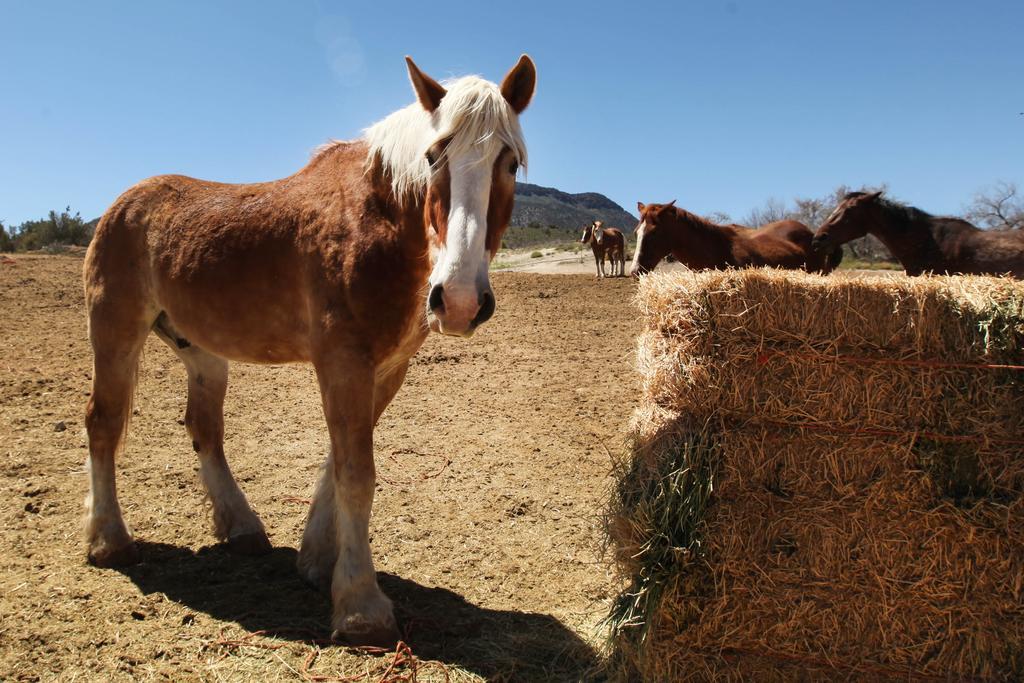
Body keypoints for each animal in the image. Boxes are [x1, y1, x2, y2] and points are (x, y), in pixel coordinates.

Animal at [79, 54, 536, 647]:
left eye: (510, 163)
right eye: (434, 156)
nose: (457, 301)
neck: (379, 224)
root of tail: (122, 203)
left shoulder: (384, 369)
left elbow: (338, 462)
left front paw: (319, 562)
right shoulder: (343, 361)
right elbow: (356, 473)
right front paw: (361, 606)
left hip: (202, 353)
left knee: (205, 430)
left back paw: (241, 527)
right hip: (115, 333)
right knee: (104, 422)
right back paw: (109, 539)